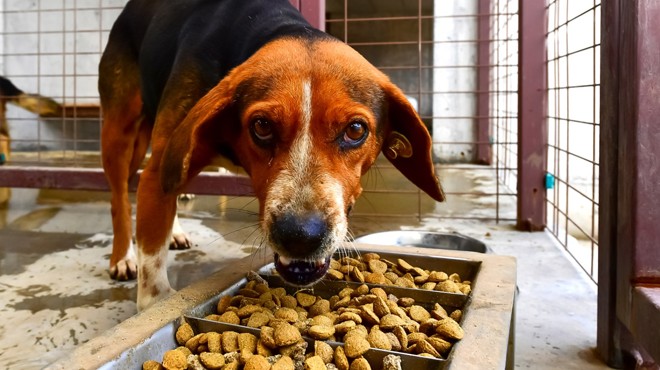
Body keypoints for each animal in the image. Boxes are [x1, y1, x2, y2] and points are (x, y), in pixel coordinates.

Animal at [100, 0, 446, 310]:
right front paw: (155, 297)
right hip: (120, 135)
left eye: (356, 130)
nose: (300, 236)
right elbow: (152, 285)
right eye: (262, 126)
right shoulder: (159, 172)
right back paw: (122, 258)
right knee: (119, 198)